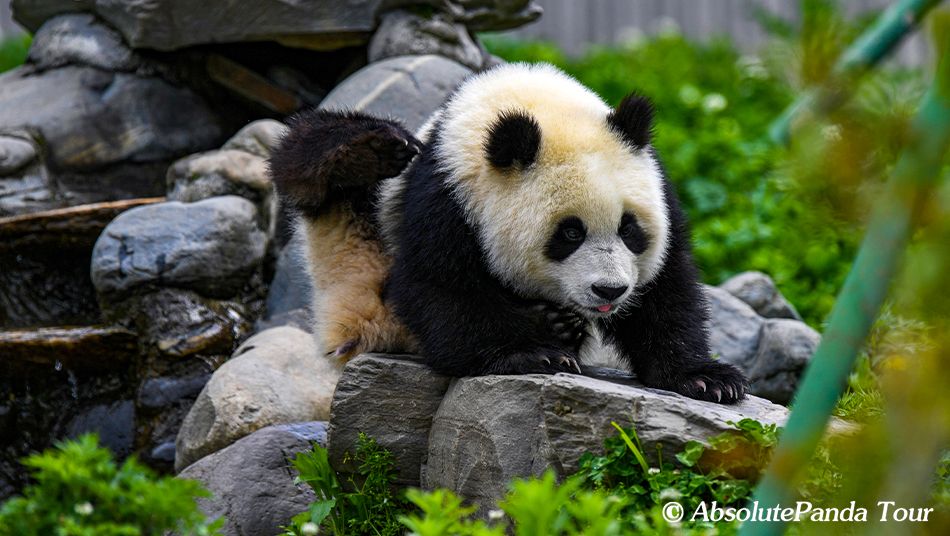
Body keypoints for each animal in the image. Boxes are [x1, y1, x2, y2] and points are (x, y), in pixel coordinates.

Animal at [270, 63, 748, 404]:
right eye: (569, 234)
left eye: (629, 229)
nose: (609, 290)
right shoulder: (448, 192)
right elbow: (441, 286)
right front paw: (529, 354)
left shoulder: (658, 187)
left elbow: (667, 290)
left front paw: (707, 379)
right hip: (370, 268)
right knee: (313, 165)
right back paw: (364, 152)